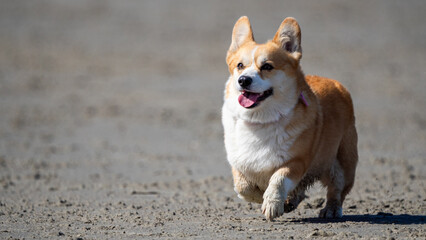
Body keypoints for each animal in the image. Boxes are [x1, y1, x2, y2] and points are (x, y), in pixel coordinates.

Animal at [221, 15, 358, 220]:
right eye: (240, 66)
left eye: (267, 66)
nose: (243, 80)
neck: (260, 121)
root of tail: (336, 84)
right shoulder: (239, 164)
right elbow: (243, 187)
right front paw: (262, 197)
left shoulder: (295, 162)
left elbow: (278, 179)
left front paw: (271, 203)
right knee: (300, 190)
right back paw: (290, 201)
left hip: (343, 161)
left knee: (337, 188)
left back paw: (331, 209)